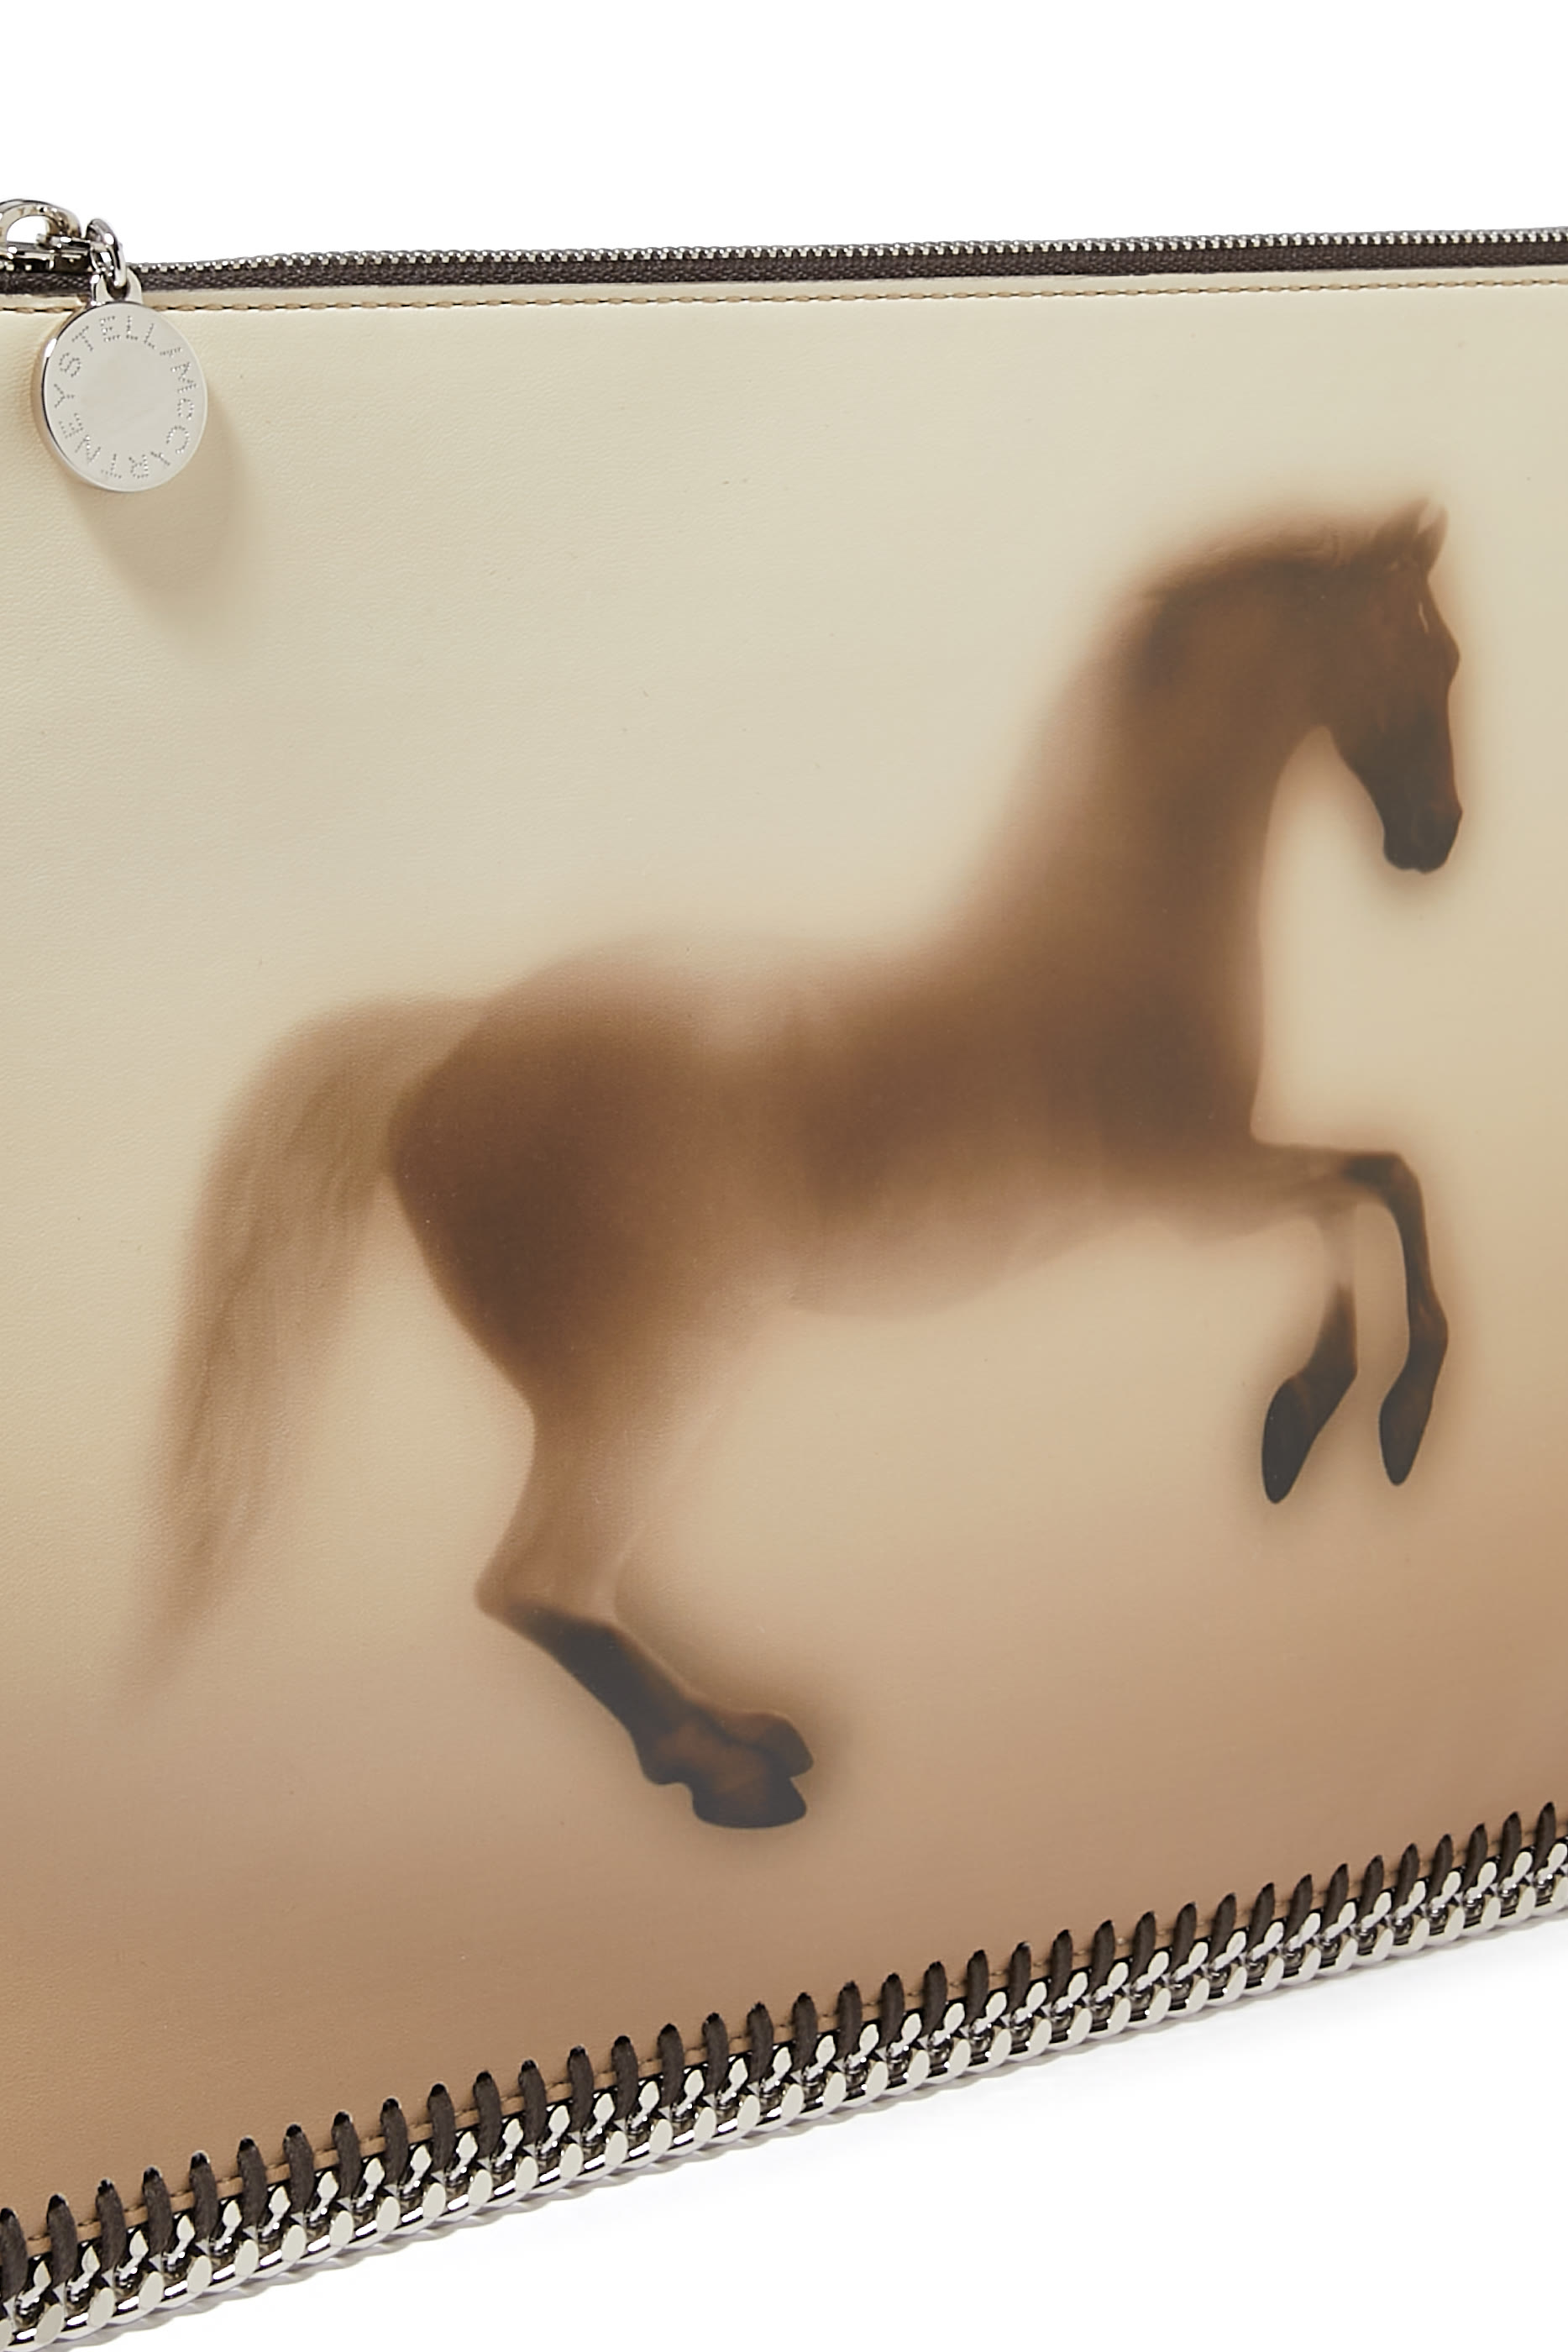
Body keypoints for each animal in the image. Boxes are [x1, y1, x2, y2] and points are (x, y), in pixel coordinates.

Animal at [163, 502, 1462, 1830]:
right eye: (1433, 658)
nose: (1432, 840)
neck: (1120, 930)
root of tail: (443, 1058)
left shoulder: (1216, 1187)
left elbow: (1353, 1203)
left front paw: (1293, 1426)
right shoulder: (1194, 1190)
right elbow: (1382, 1181)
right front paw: (1385, 1422)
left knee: (582, 1589)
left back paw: (735, 1732)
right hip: (656, 1381)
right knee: (537, 1583)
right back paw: (728, 1774)